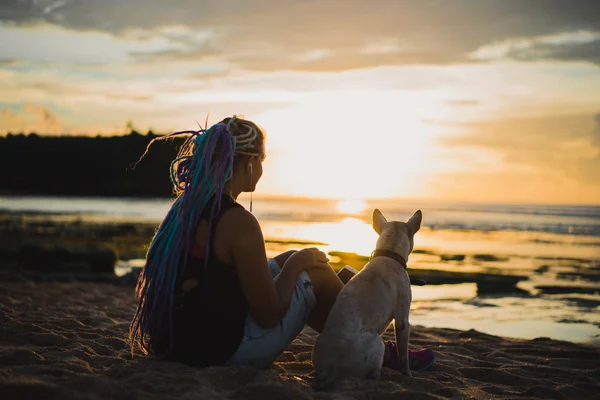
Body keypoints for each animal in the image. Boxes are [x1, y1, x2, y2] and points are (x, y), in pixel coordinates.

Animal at [314, 208, 422, 390]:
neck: (388, 255)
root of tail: (328, 371)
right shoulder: (402, 321)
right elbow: (403, 355)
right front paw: (408, 375)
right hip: (377, 341)